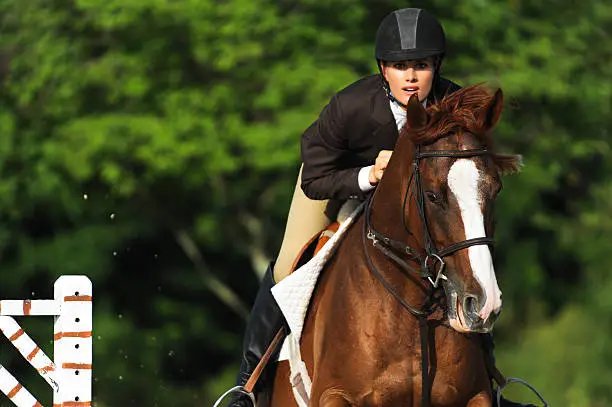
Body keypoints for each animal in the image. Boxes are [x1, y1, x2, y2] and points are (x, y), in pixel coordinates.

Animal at [268, 85, 520, 407]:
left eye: (495, 190)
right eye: (432, 196)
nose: (483, 305)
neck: (413, 313)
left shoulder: (476, 396)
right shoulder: (333, 394)